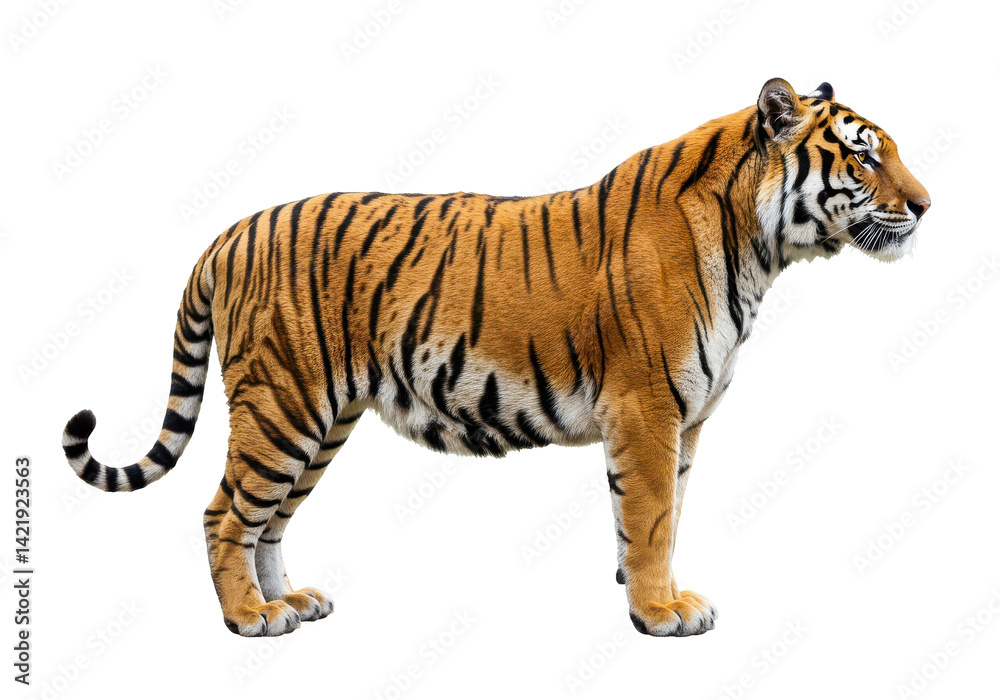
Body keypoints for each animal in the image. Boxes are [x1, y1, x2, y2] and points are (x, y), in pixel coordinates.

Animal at [62, 78, 930, 638]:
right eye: (863, 158)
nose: (926, 204)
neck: (759, 249)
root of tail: (228, 232)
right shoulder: (648, 408)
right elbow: (651, 515)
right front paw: (660, 612)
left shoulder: (686, 420)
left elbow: (665, 514)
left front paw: (650, 592)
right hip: (283, 407)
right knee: (224, 515)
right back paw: (249, 619)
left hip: (322, 420)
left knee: (268, 520)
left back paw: (291, 603)